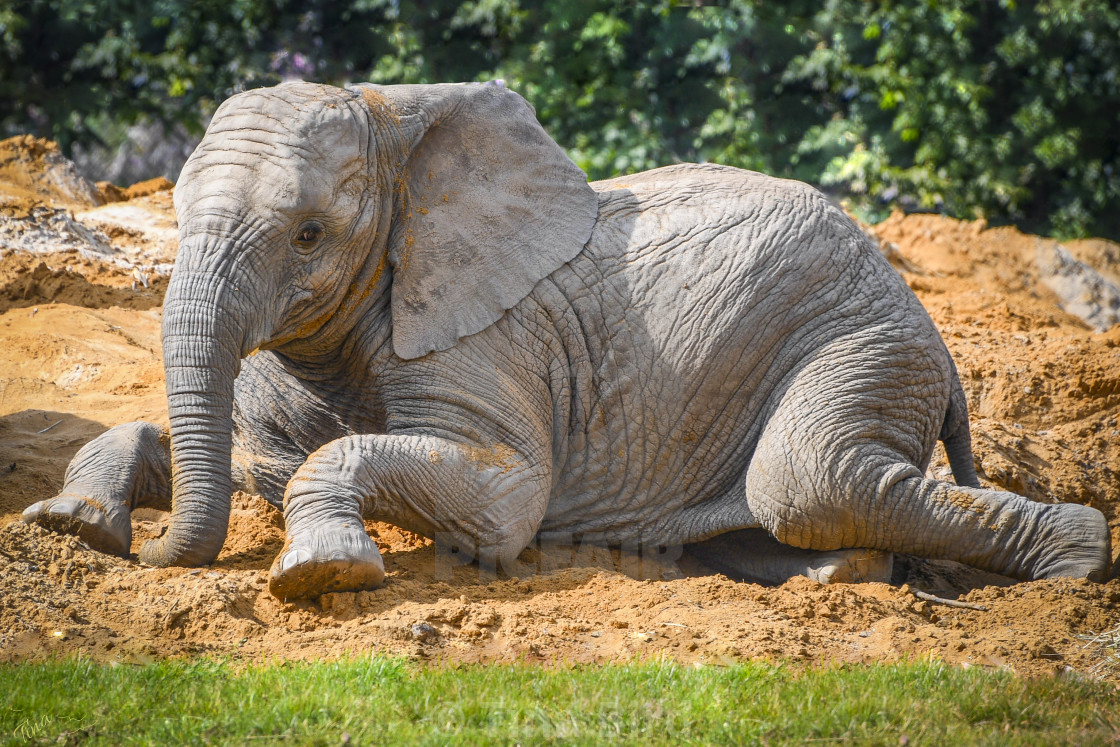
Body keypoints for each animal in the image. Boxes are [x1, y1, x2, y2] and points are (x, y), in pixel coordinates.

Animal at [21, 81, 1115, 600]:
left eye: (308, 236)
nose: (156, 554)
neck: (401, 121)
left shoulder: (483, 337)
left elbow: (504, 499)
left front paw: (319, 574)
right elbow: (226, 448)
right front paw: (72, 523)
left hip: (856, 340)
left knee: (808, 481)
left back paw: (1076, 557)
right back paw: (829, 578)